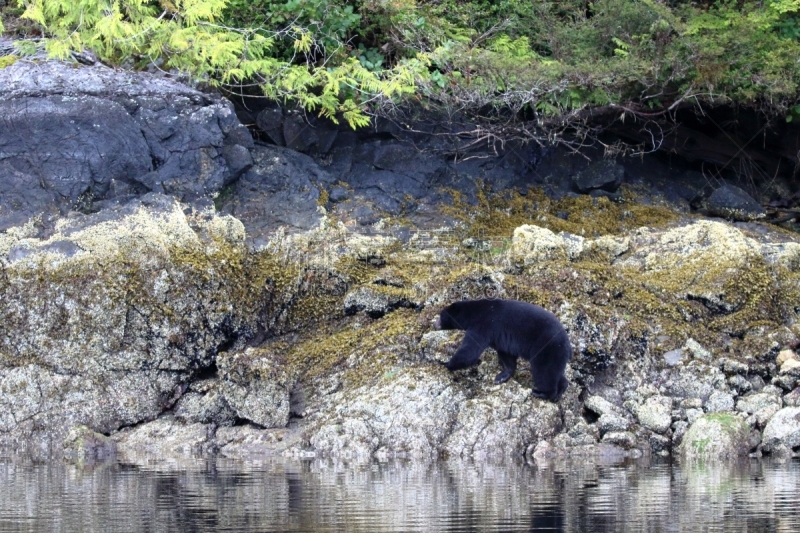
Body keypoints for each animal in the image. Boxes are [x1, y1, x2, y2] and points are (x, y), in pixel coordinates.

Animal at [434, 300, 572, 400]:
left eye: (440, 316)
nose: (434, 324)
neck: (474, 312)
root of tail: (568, 344)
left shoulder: (483, 324)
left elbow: (470, 351)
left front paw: (445, 363)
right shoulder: (500, 338)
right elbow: (506, 355)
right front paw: (501, 376)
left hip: (548, 348)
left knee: (544, 371)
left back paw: (543, 393)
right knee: (555, 372)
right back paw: (561, 390)